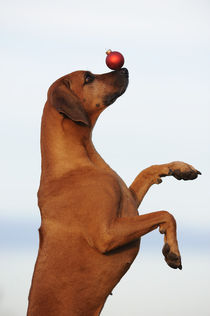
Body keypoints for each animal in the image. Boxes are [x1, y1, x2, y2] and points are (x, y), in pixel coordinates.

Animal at [27, 68, 201, 314]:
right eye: (88, 78)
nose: (125, 69)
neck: (79, 160)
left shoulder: (128, 205)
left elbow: (147, 171)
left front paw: (179, 168)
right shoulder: (107, 234)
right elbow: (166, 214)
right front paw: (172, 250)